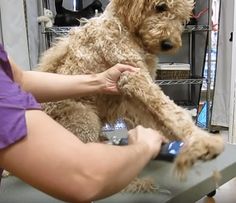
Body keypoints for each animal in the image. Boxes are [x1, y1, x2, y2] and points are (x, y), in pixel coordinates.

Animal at [38, 0, 223, 181]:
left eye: (181, 17)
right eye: (160, 7)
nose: (169, 44)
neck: (124, 26)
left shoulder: (132, 93)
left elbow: (154, 118)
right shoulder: (134, 76)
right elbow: (171, 111)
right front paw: (202, 141)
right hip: (84, 119)